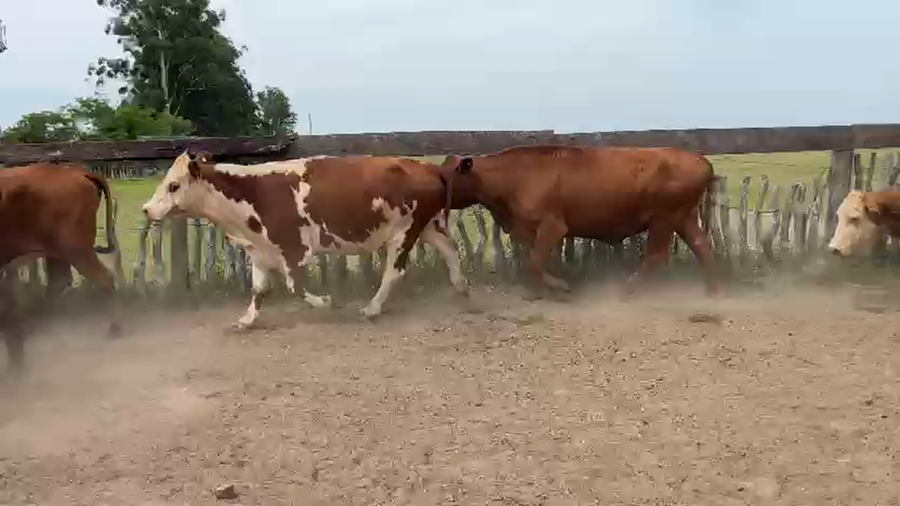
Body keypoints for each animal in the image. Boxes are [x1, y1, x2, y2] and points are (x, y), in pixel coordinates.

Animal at [0, 162, 121, 371]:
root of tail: (74, 170)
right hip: (56, 252)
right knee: (58, 282)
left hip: (75, 249)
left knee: (102, 278)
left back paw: (114, 329)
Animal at [141, 151, 469, 330]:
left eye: (174, 185)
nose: (146, 208)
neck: (251, 192)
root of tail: (428, 167)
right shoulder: (259, 250)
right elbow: (259, 290)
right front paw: (247, 320)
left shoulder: (293, 249)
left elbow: (294, 287)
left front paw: (325, 302)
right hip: (428, 227)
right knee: (451, 251)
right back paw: (462, 287)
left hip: (404, 233)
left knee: (394, 272)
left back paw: (372, 308)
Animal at [439, 145, 721, 297]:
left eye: (447, 175)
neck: (516, 175)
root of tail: (702, 161)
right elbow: (540, 260)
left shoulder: (553, 226)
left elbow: (535, 262)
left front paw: (561, 286)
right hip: (683, 218)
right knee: (702, 247)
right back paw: (712, 291)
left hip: (664, 219)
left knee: (657, 255)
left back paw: (628, 288)